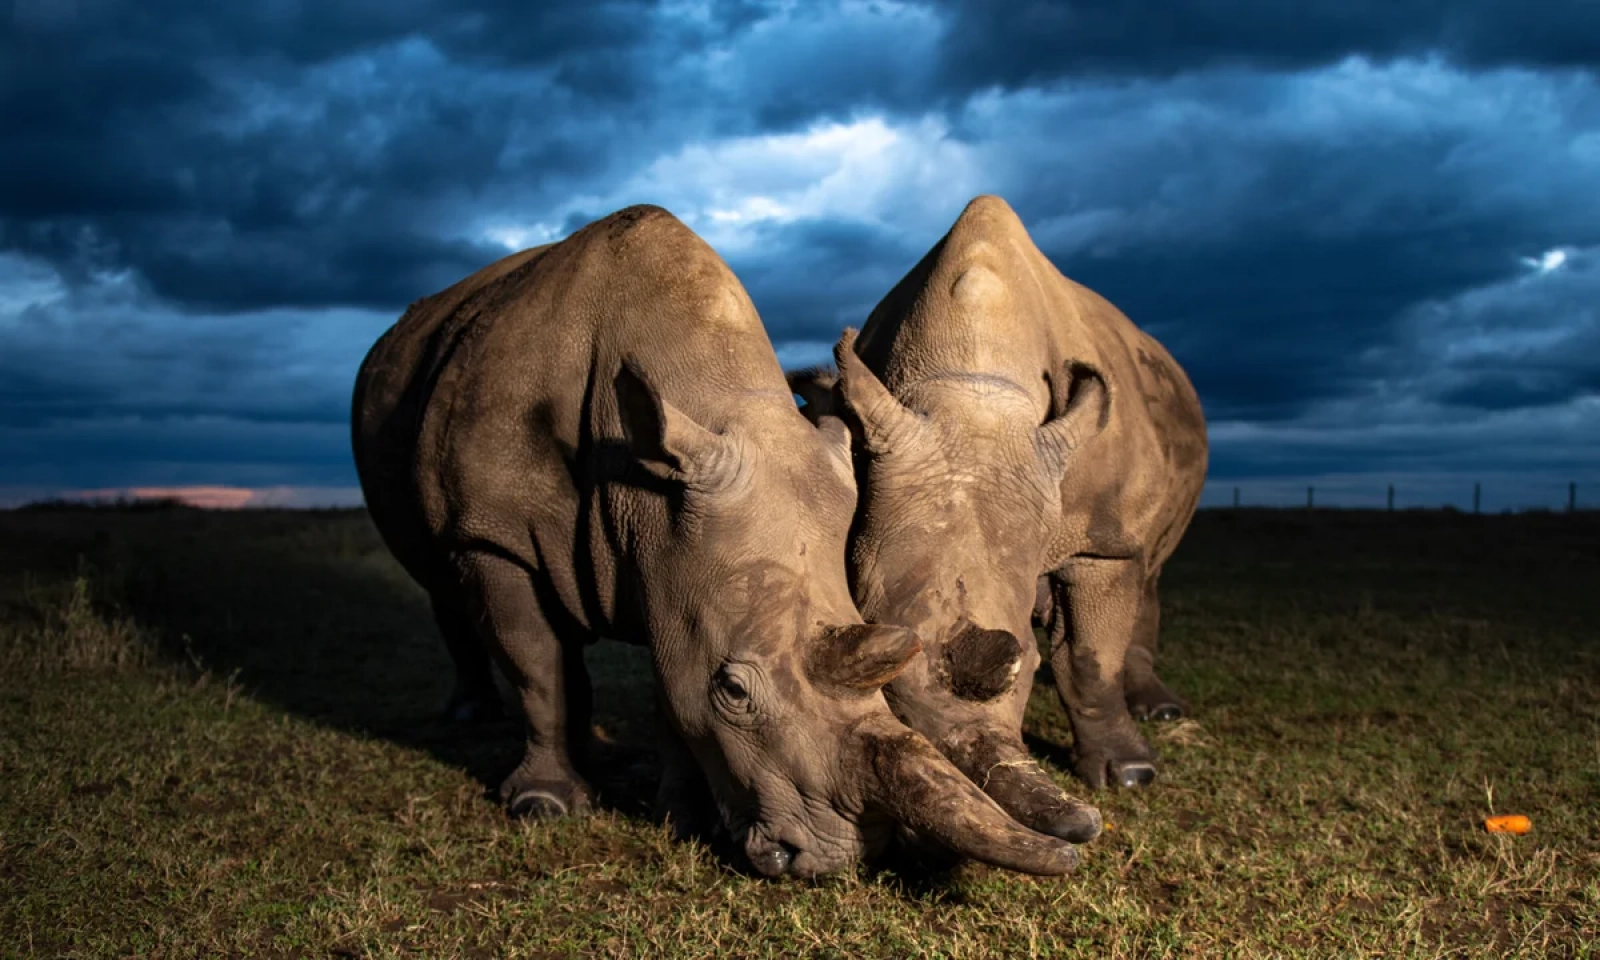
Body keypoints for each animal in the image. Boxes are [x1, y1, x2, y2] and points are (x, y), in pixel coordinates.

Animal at [350, 205, 1087, 878]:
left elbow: (670, 687)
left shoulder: (670, 553)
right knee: (445, 585)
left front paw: (681, 816)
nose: (826, 862)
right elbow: (537, 667)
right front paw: (545, 806)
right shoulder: (495, 536)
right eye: (733, 690)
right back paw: (475, 717)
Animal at [789, 195, 1207, 834]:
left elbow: (1089, 657)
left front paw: (1130, 775)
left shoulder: (1098, 539)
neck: (974, 387)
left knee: (1150, 566)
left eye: (1027, 667)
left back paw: (1157, 712)